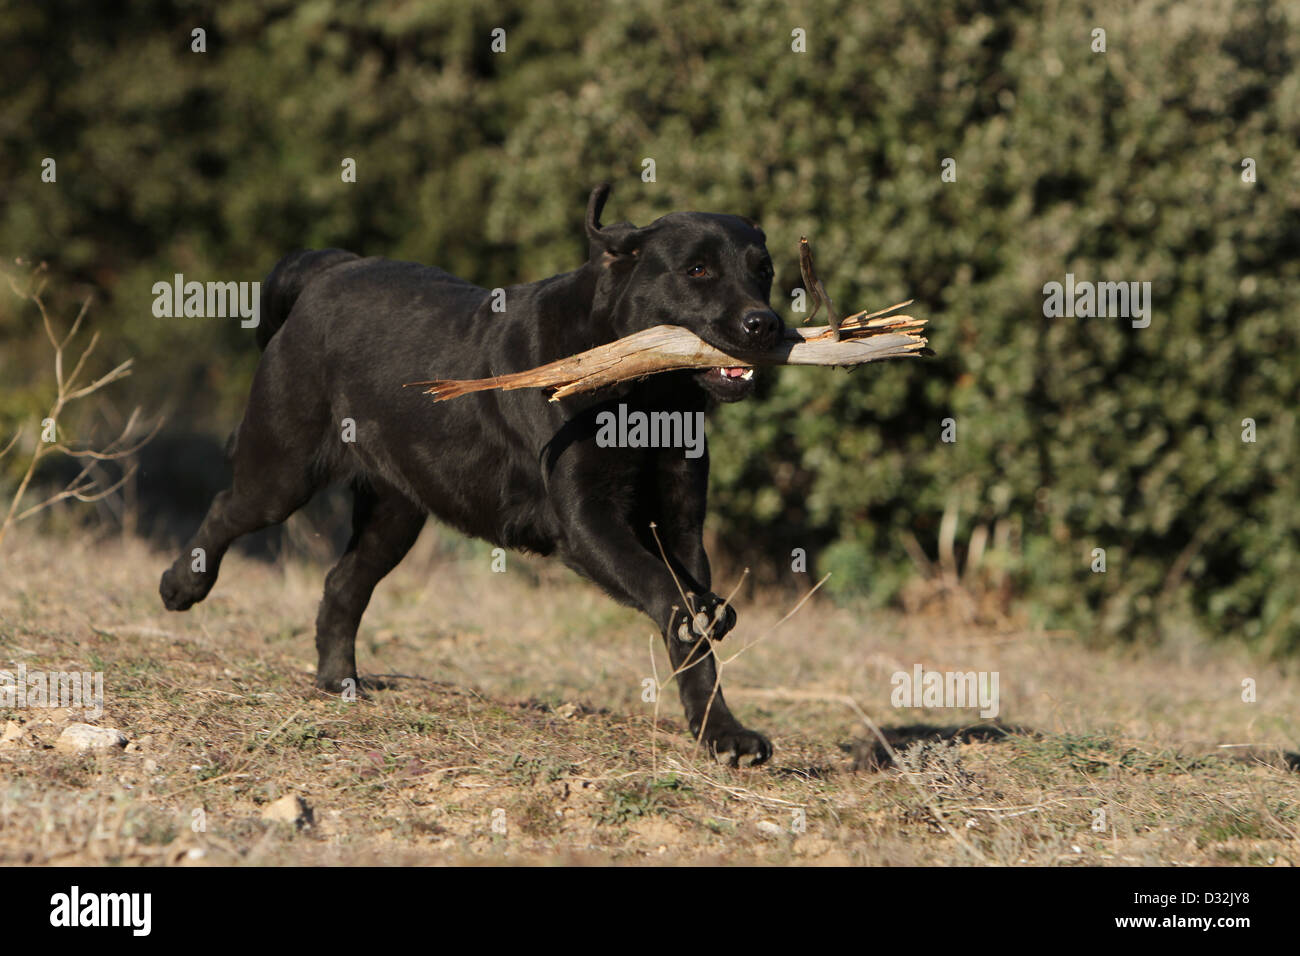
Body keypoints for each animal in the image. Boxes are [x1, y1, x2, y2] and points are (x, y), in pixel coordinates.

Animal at [165, 184, 790, 770]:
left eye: (763, 270)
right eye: (698, 269)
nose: (764, 323)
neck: (652, 400)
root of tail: (330, 267)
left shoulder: (681, 527)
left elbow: (695, 643)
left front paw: (725, 735)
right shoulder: (586, 518)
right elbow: (665, 589)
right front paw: (701, 624)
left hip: (394, 514)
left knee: (342, 585)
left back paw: (340, 681)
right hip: (283, 471)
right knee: (224, 509)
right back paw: (180, 586)